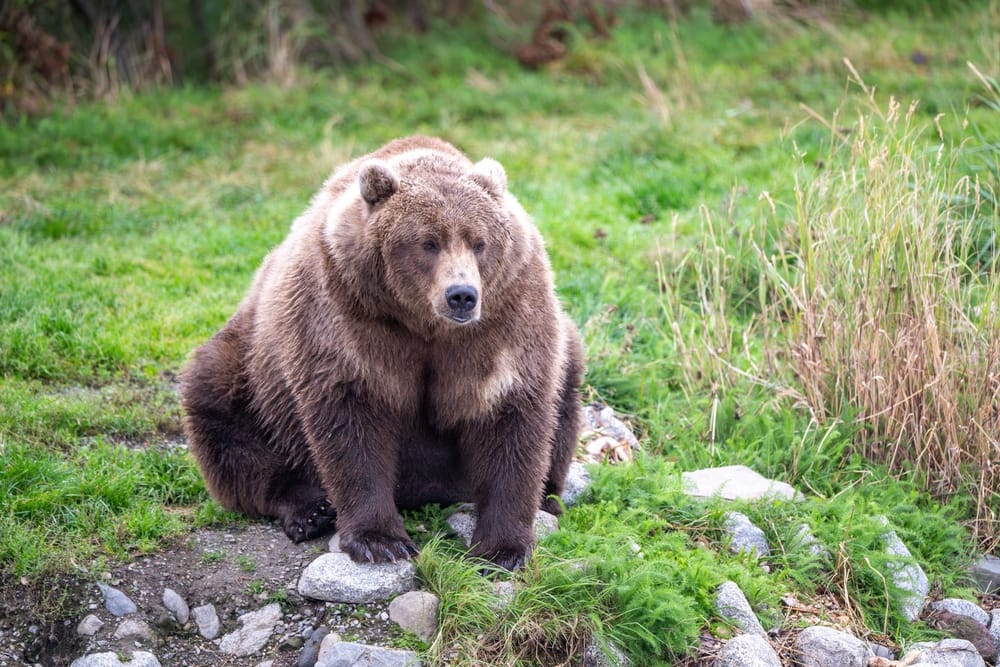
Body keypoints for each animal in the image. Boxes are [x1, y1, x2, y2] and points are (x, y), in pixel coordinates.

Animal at [179, 135, 584, 571]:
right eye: (428, 242)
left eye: (480, 242)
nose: (461, 295)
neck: (422, 323)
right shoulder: (345, 311)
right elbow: (352, 423)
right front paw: (381, 541)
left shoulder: (504, 318)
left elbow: (511, 416)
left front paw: (502, 548)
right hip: (253, 361)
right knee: (221, 406)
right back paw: (309, 509)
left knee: (567, 393)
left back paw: (549, 497)